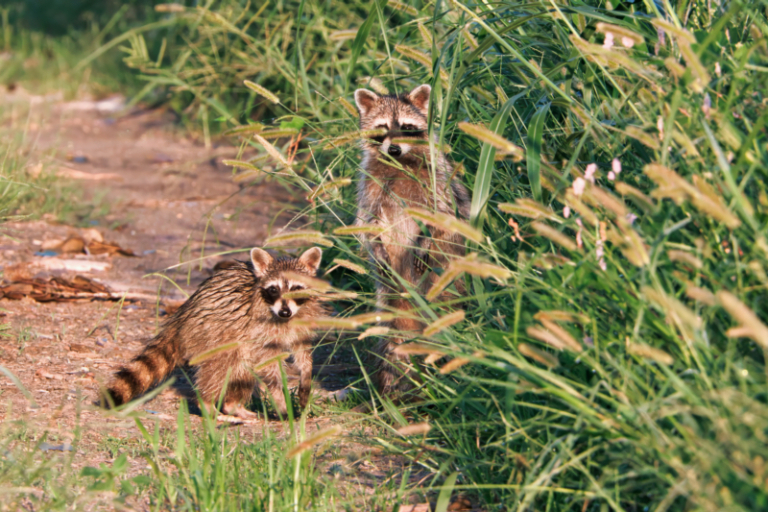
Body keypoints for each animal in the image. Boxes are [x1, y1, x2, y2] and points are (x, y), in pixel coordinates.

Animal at [101, 247, 325, 420]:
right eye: (273, 289)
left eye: (296, 288)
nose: (284, 312)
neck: (286, 316)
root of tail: (183, 315)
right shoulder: (260, 329)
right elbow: (269, 366)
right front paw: (280, 398)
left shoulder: (301, 322)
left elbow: (303, 352)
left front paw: (306, 377)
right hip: (213, 334)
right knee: (219, 369)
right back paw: (208, 405)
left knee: (242, 372)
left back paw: (234, 406)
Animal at [353, 84, 470, 395]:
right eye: (382, 128)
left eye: (406, 127)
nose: (393, 148)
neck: (399, 161)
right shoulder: (369, 186)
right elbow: (367, 223)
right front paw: (377, 246)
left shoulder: (437, 179)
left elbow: (442, 214)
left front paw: (423, 240)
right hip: (389, 293)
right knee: (391, 329)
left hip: (445, 275)